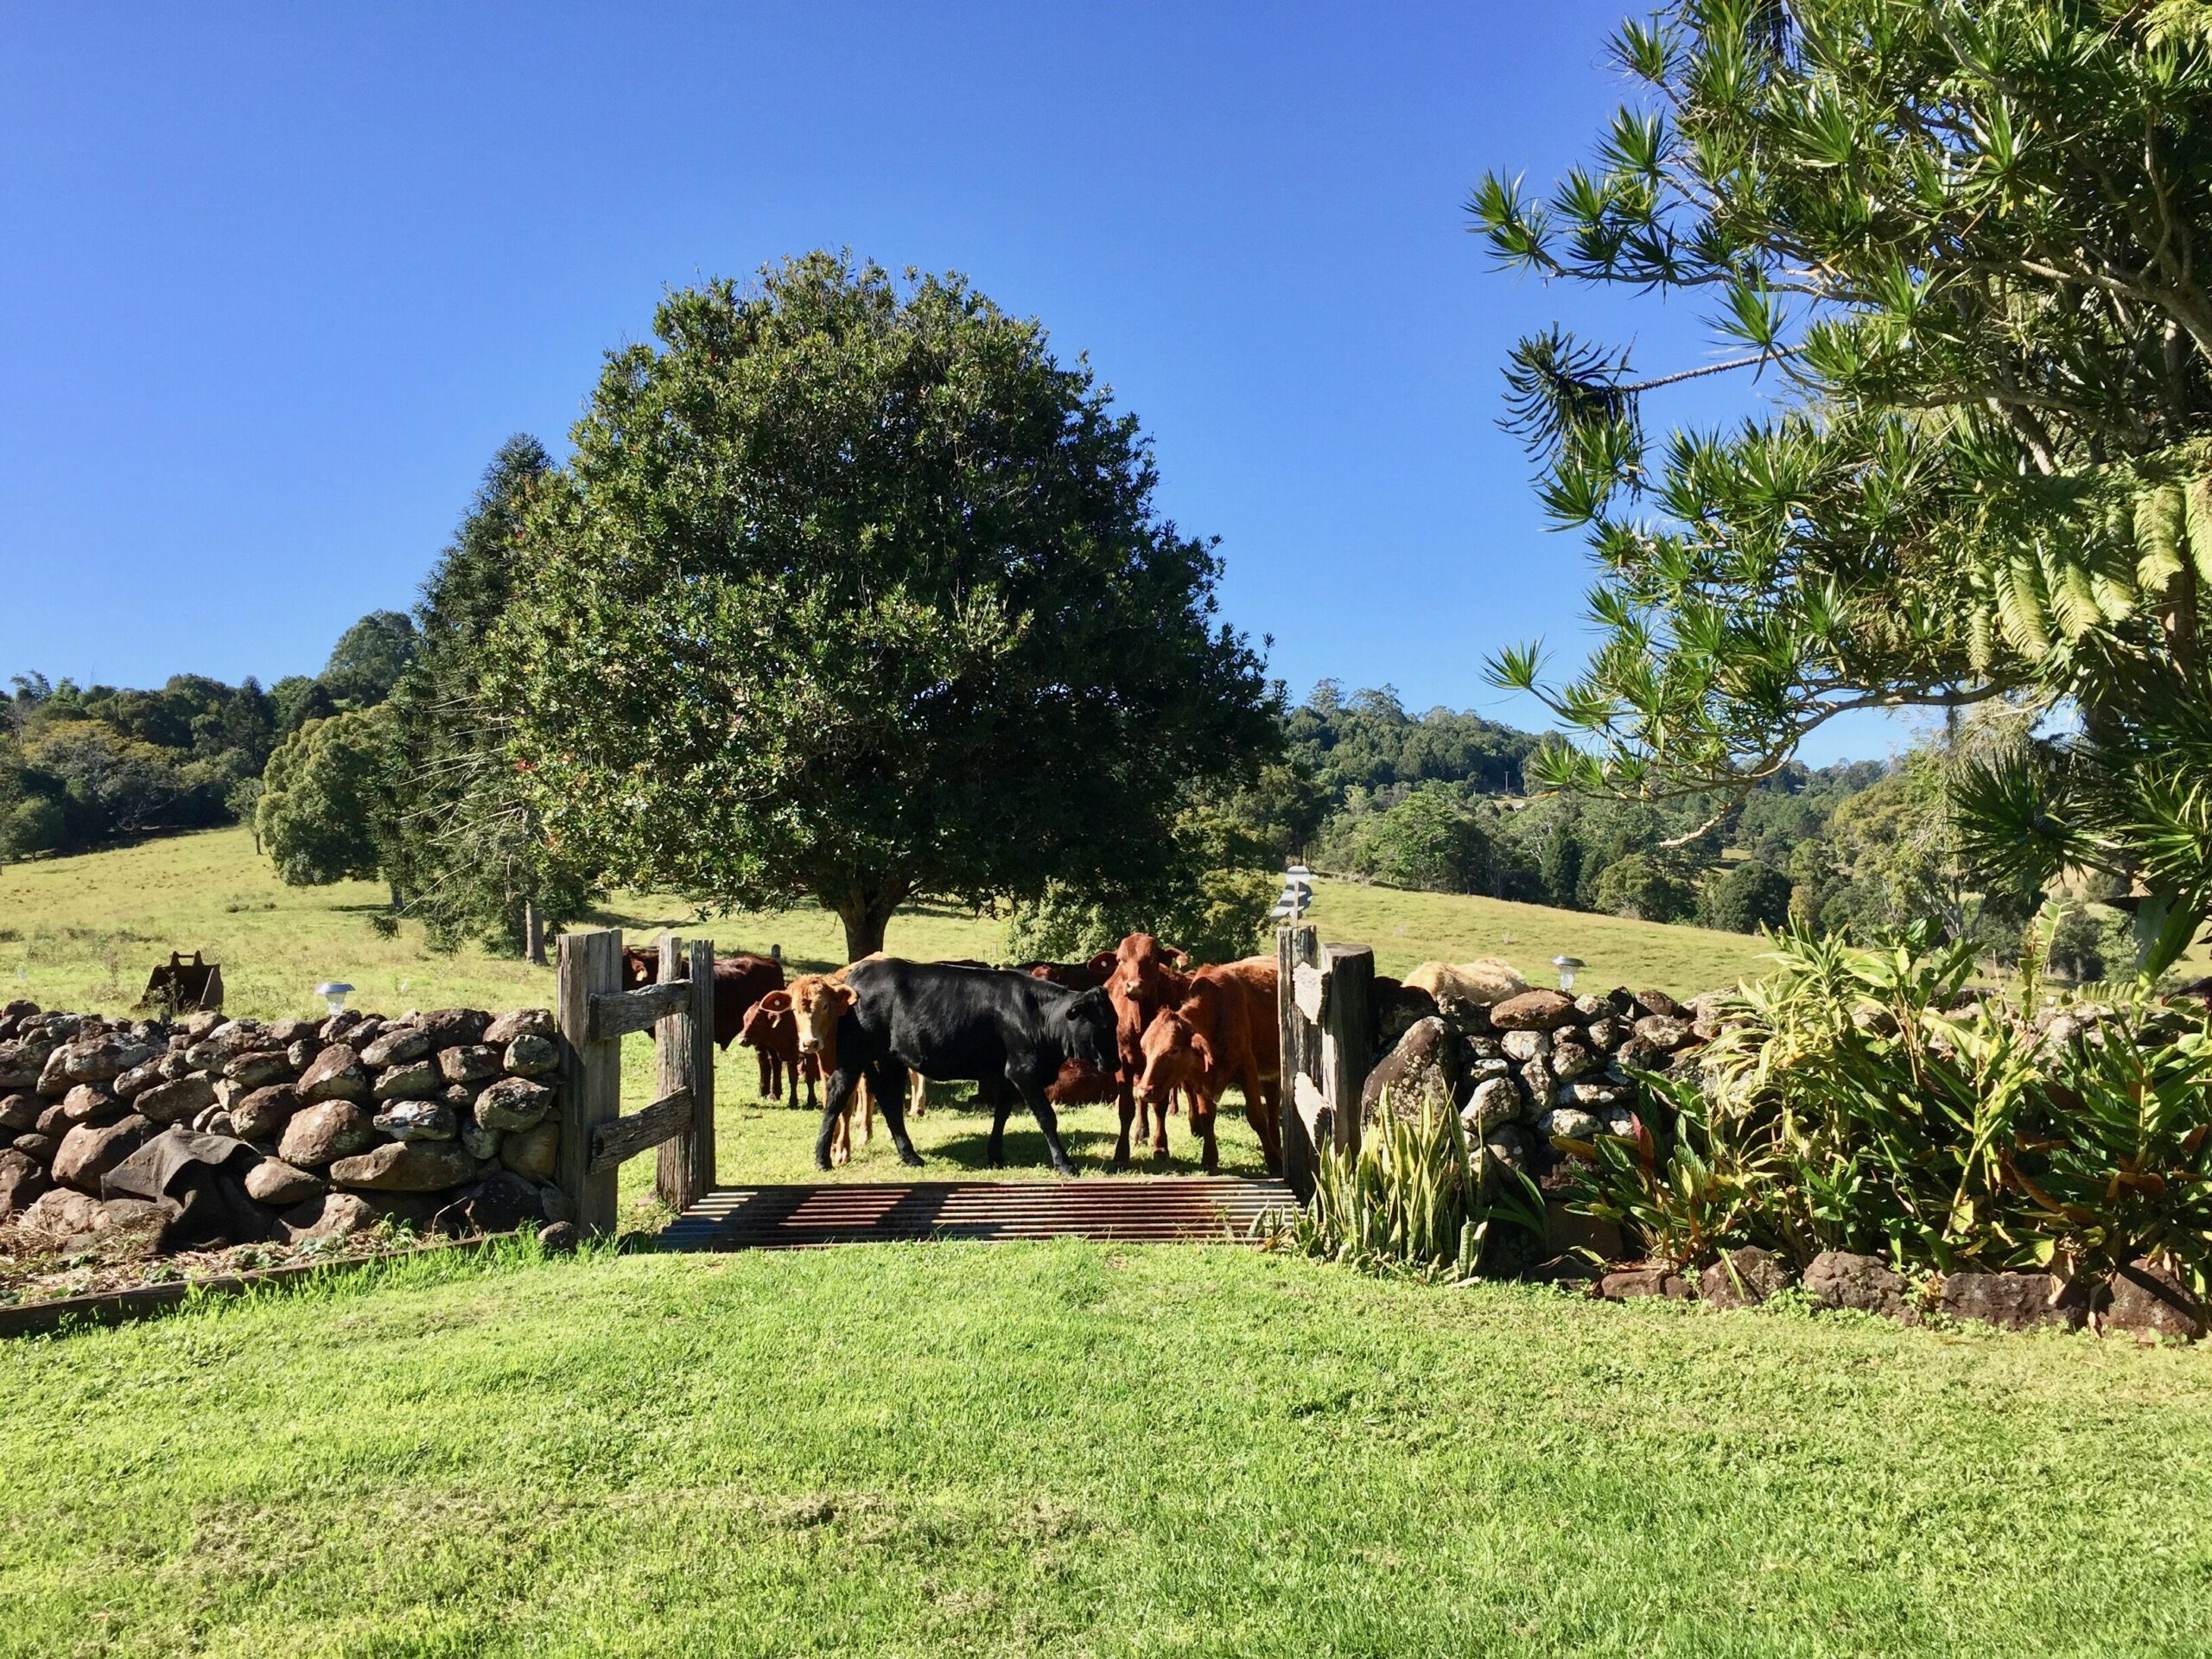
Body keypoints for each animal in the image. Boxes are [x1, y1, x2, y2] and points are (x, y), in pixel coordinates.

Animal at [818, 955, 1123, 1176]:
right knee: (837, 1096)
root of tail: (859, 972)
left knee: (889, 1101)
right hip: (853, 1057)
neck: (1036, 1014)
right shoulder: (1023, 1071)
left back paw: (910, 1156)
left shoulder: (1007, 1075)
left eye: (1115, 1021)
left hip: (891, 1059)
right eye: (1101, 1024)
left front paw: (995, 1156)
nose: (1115, 1062)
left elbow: (1002, 1114)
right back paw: (823, 1159)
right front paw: (1064, 1164)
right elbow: (1047, 1117)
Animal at [1132, 955, 1292, 1176]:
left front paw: (1274, 1162)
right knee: (1273, 1099)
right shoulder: (1200, 1078)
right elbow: (1206, 1116)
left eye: (1174, 1049)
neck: (1217, 1012)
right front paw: (1209, 1158)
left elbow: (1257, 1116)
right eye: (1145, 1049)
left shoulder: (1247, 1068)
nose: (1143, 1092)